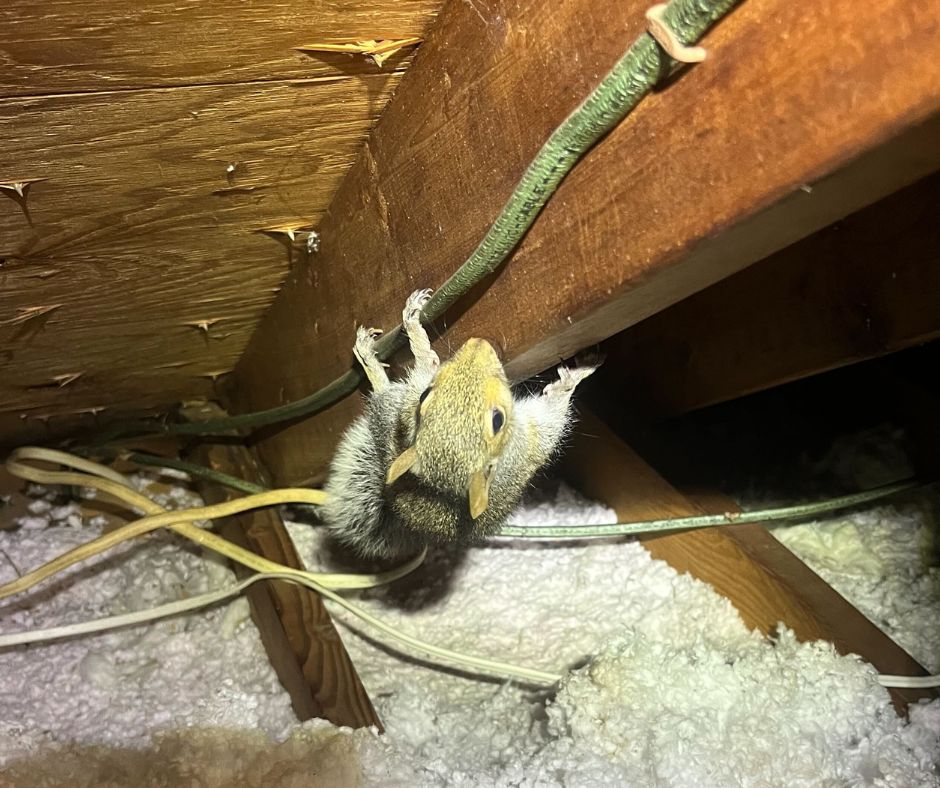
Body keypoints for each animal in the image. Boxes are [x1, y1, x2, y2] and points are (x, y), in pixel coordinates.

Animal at [321, 289, 599, 559]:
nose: (478, 344)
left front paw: (575, 376)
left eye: (498, 420)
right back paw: (370, 359)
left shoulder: (530, 443)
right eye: (425, 396)